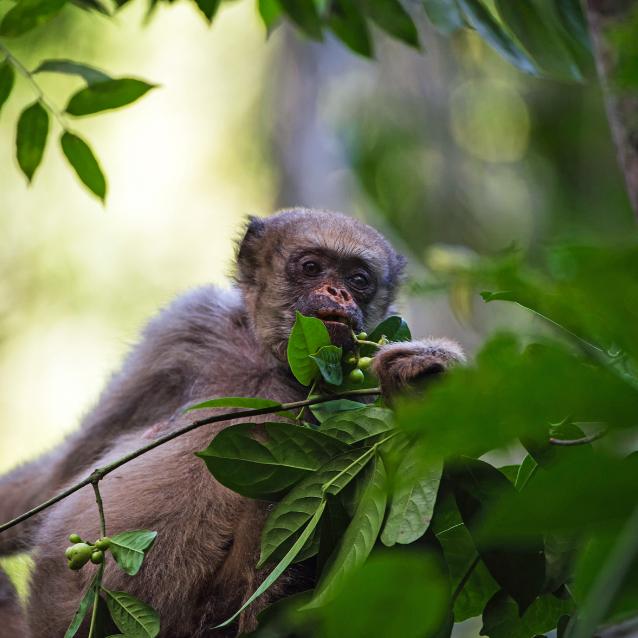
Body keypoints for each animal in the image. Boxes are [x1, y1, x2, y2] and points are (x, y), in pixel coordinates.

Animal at [0, 210, 464, 638]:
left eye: (359, 279)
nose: (338, 291)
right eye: (311, 267)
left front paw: (419, 384)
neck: (271, 365)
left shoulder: (361, 394)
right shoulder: (186, 325)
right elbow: (60, 476)